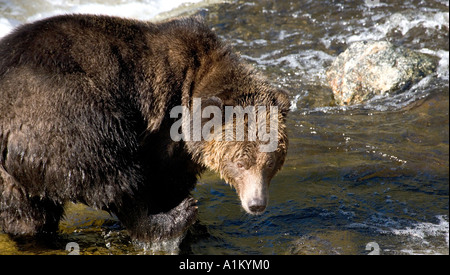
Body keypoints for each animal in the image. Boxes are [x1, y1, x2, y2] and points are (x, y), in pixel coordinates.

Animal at [0, 15, 288, 244]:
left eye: (270, 162)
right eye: (240, 162)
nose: (256, 204)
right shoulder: (166, 124)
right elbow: (162, 177)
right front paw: (180, 212)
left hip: (9, 170)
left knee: (26, 212)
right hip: (62, 111)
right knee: (108, 171)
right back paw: (170, 219)